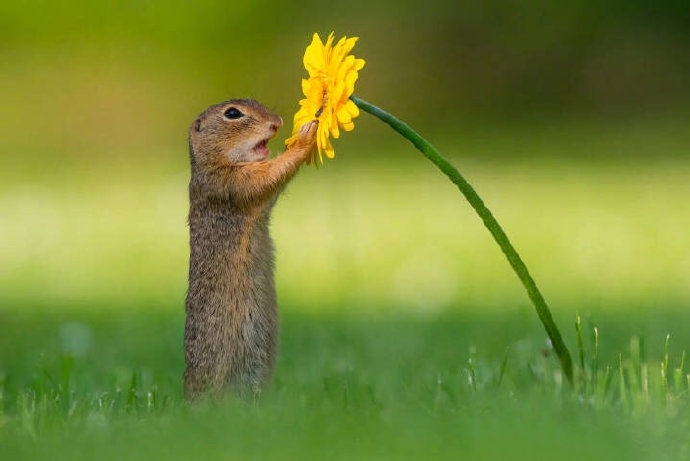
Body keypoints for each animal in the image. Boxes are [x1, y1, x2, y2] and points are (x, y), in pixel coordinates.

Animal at [183, 98, 318, 398]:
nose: (277, 122)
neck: (213, 163)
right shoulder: (231, 183)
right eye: (233, 113)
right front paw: (306, 135)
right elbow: (270, 173)